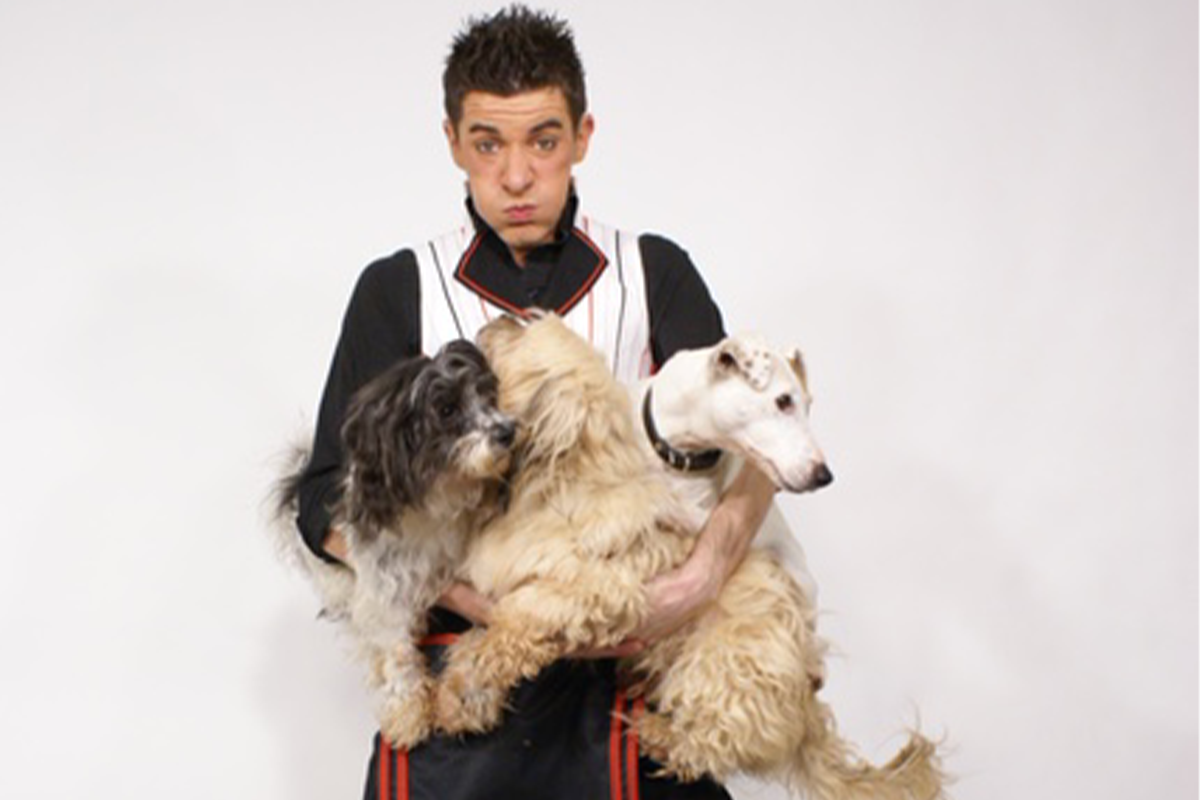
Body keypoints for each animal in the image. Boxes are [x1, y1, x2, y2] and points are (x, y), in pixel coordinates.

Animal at [273, 339, 516, 748]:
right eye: (447, 409)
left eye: (488, 395)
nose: (508, 431)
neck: (442, 495)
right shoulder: (385, 585)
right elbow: (396, 650)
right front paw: (407, 709)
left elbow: (484, 636)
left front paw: (470, 697)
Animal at [436, 313, 945, 800]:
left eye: (523, 330)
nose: (487, 327)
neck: (559, 483)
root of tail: (804, 708)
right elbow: (481, 635)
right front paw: (460, 698)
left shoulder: (598, 592)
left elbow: (514, 625)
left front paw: (470, 683)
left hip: (721, 665)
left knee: (713, 741)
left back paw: (658, 734)